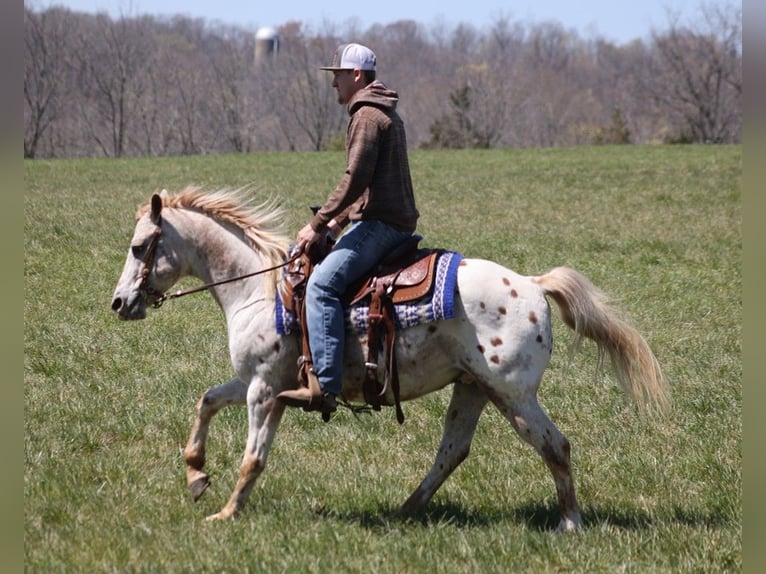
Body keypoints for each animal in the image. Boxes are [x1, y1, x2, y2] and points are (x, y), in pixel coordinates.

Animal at [111, 187, 668, 532]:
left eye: (139, 247)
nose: (119, 303)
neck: (258, 287)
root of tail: (533, 284)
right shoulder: (252, 381)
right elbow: (205, 402)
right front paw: (196, 477)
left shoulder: (265, 390)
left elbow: (253, 457)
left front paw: (226, 513)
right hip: (474, 388)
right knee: (452, 451)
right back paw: (406, 510)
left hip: (515, 395)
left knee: (555, 446)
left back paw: (570, 522)